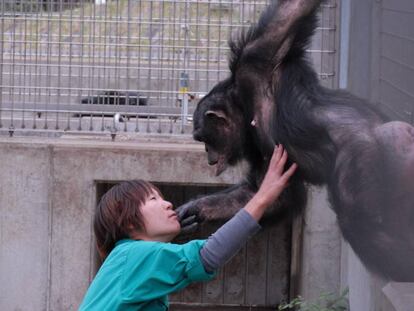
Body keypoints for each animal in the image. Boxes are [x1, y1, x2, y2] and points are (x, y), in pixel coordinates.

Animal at [177, 0, 414, 282]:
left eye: (203, 138)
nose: (208, 156)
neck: (245, 108)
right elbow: (262, 194)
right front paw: (193, 209)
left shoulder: (255, 59)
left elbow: (289, 14)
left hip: (362, 154)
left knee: (359, 221)